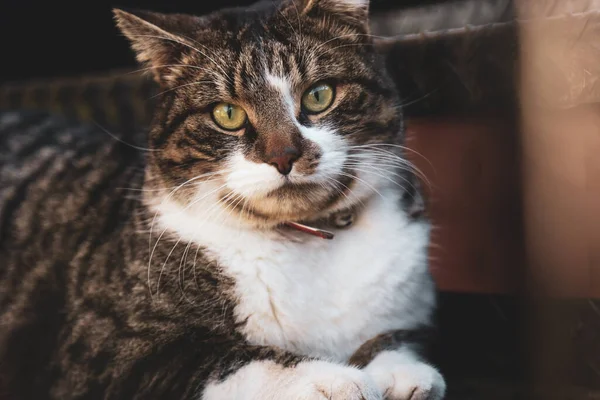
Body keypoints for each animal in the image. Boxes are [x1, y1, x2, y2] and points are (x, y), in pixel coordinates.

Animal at [0, 0, 446, 400]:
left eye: (319, 95)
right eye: (227, 114)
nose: (284, 156)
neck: (307, 243)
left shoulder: (412, 305)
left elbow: (400, 334)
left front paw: (400, 371)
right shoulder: (105, 348)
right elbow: (230, 358)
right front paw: (332, 381)